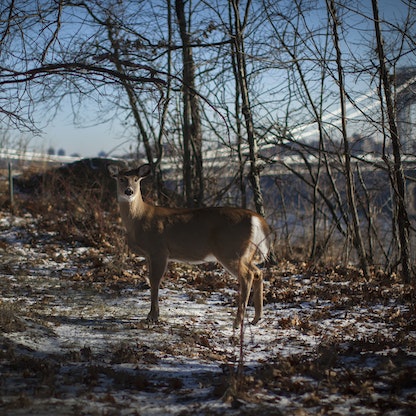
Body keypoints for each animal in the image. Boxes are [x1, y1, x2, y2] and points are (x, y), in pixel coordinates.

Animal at [107, 162, 272, 328]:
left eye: (136, 179)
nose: (129, 191)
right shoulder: (149, 254)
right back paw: (256, 318)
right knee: (258, 272)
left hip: (230, 250)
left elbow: (155, 281)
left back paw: (238, 322)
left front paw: (152, 316)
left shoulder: (158, 249)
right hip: (245, 253)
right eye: (121, 179)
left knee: (247, 276)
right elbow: (151, 279)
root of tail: (257, 219)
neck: (139, 219)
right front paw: (152, 315)